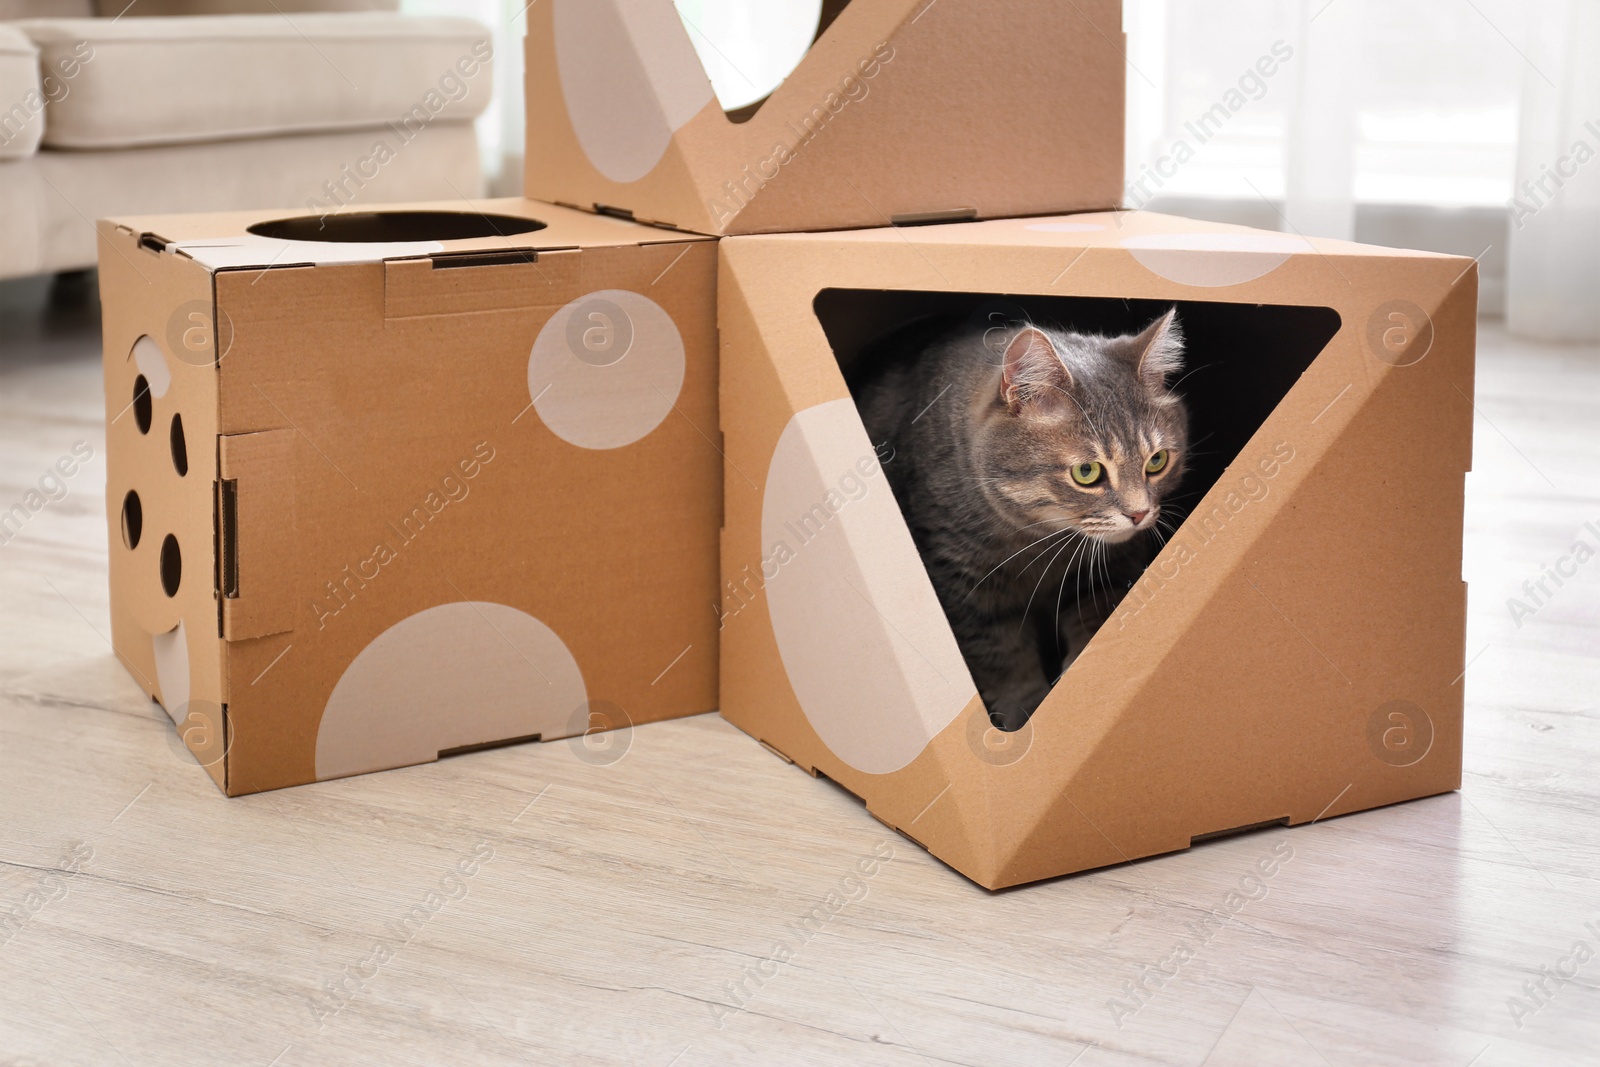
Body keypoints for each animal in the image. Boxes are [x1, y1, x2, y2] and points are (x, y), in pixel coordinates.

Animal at [857, 303, 1184, 729]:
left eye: (1157, 461)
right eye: (1087, 472)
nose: (1140, 512)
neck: (1039, 541)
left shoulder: (1108, 572)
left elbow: (1094, 623)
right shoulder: (962, 584)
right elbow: (1002, 658)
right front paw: (1023, 715)